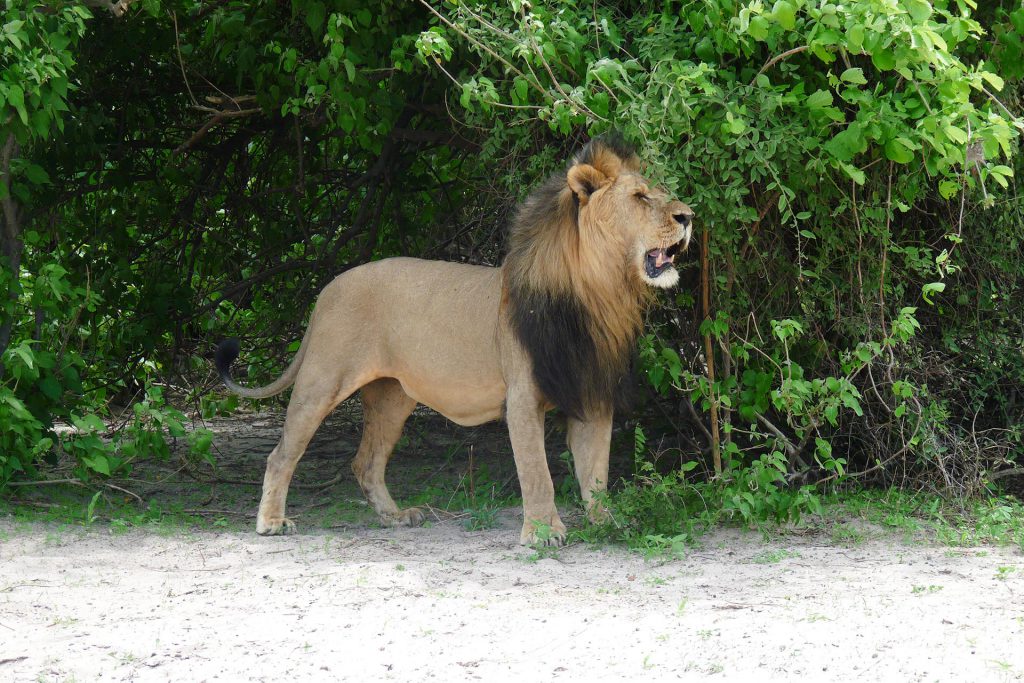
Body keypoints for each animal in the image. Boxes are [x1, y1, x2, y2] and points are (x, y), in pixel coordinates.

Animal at [215, 135, 693, 545]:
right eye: (640, 198)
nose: (689, 217)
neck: (600, 295)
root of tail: (328, 289)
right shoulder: (523, 396)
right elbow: (537, 472)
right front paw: (543, 532)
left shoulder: (592, 394)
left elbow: (596, 471)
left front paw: (607, 521)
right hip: (322, 382)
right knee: (282, 454)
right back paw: (272, 522)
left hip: (392, 398)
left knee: (365, 462)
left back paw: (395, 516)